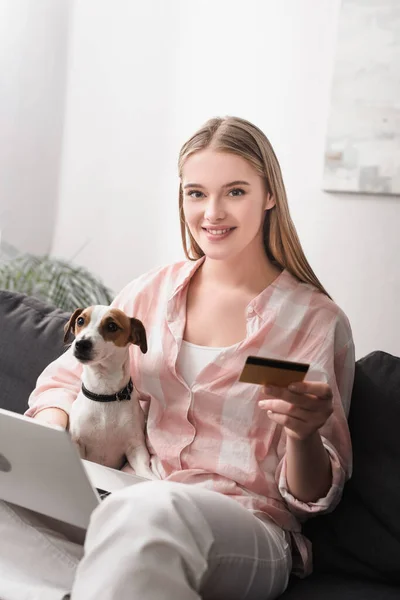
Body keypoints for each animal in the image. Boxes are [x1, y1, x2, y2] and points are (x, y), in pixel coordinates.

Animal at [65, 304, 154, 478]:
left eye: (112, 326)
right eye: (80, 321)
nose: (81, 343)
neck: (104, 394)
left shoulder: (136, 448)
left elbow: (144, 469)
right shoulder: (77, 442)